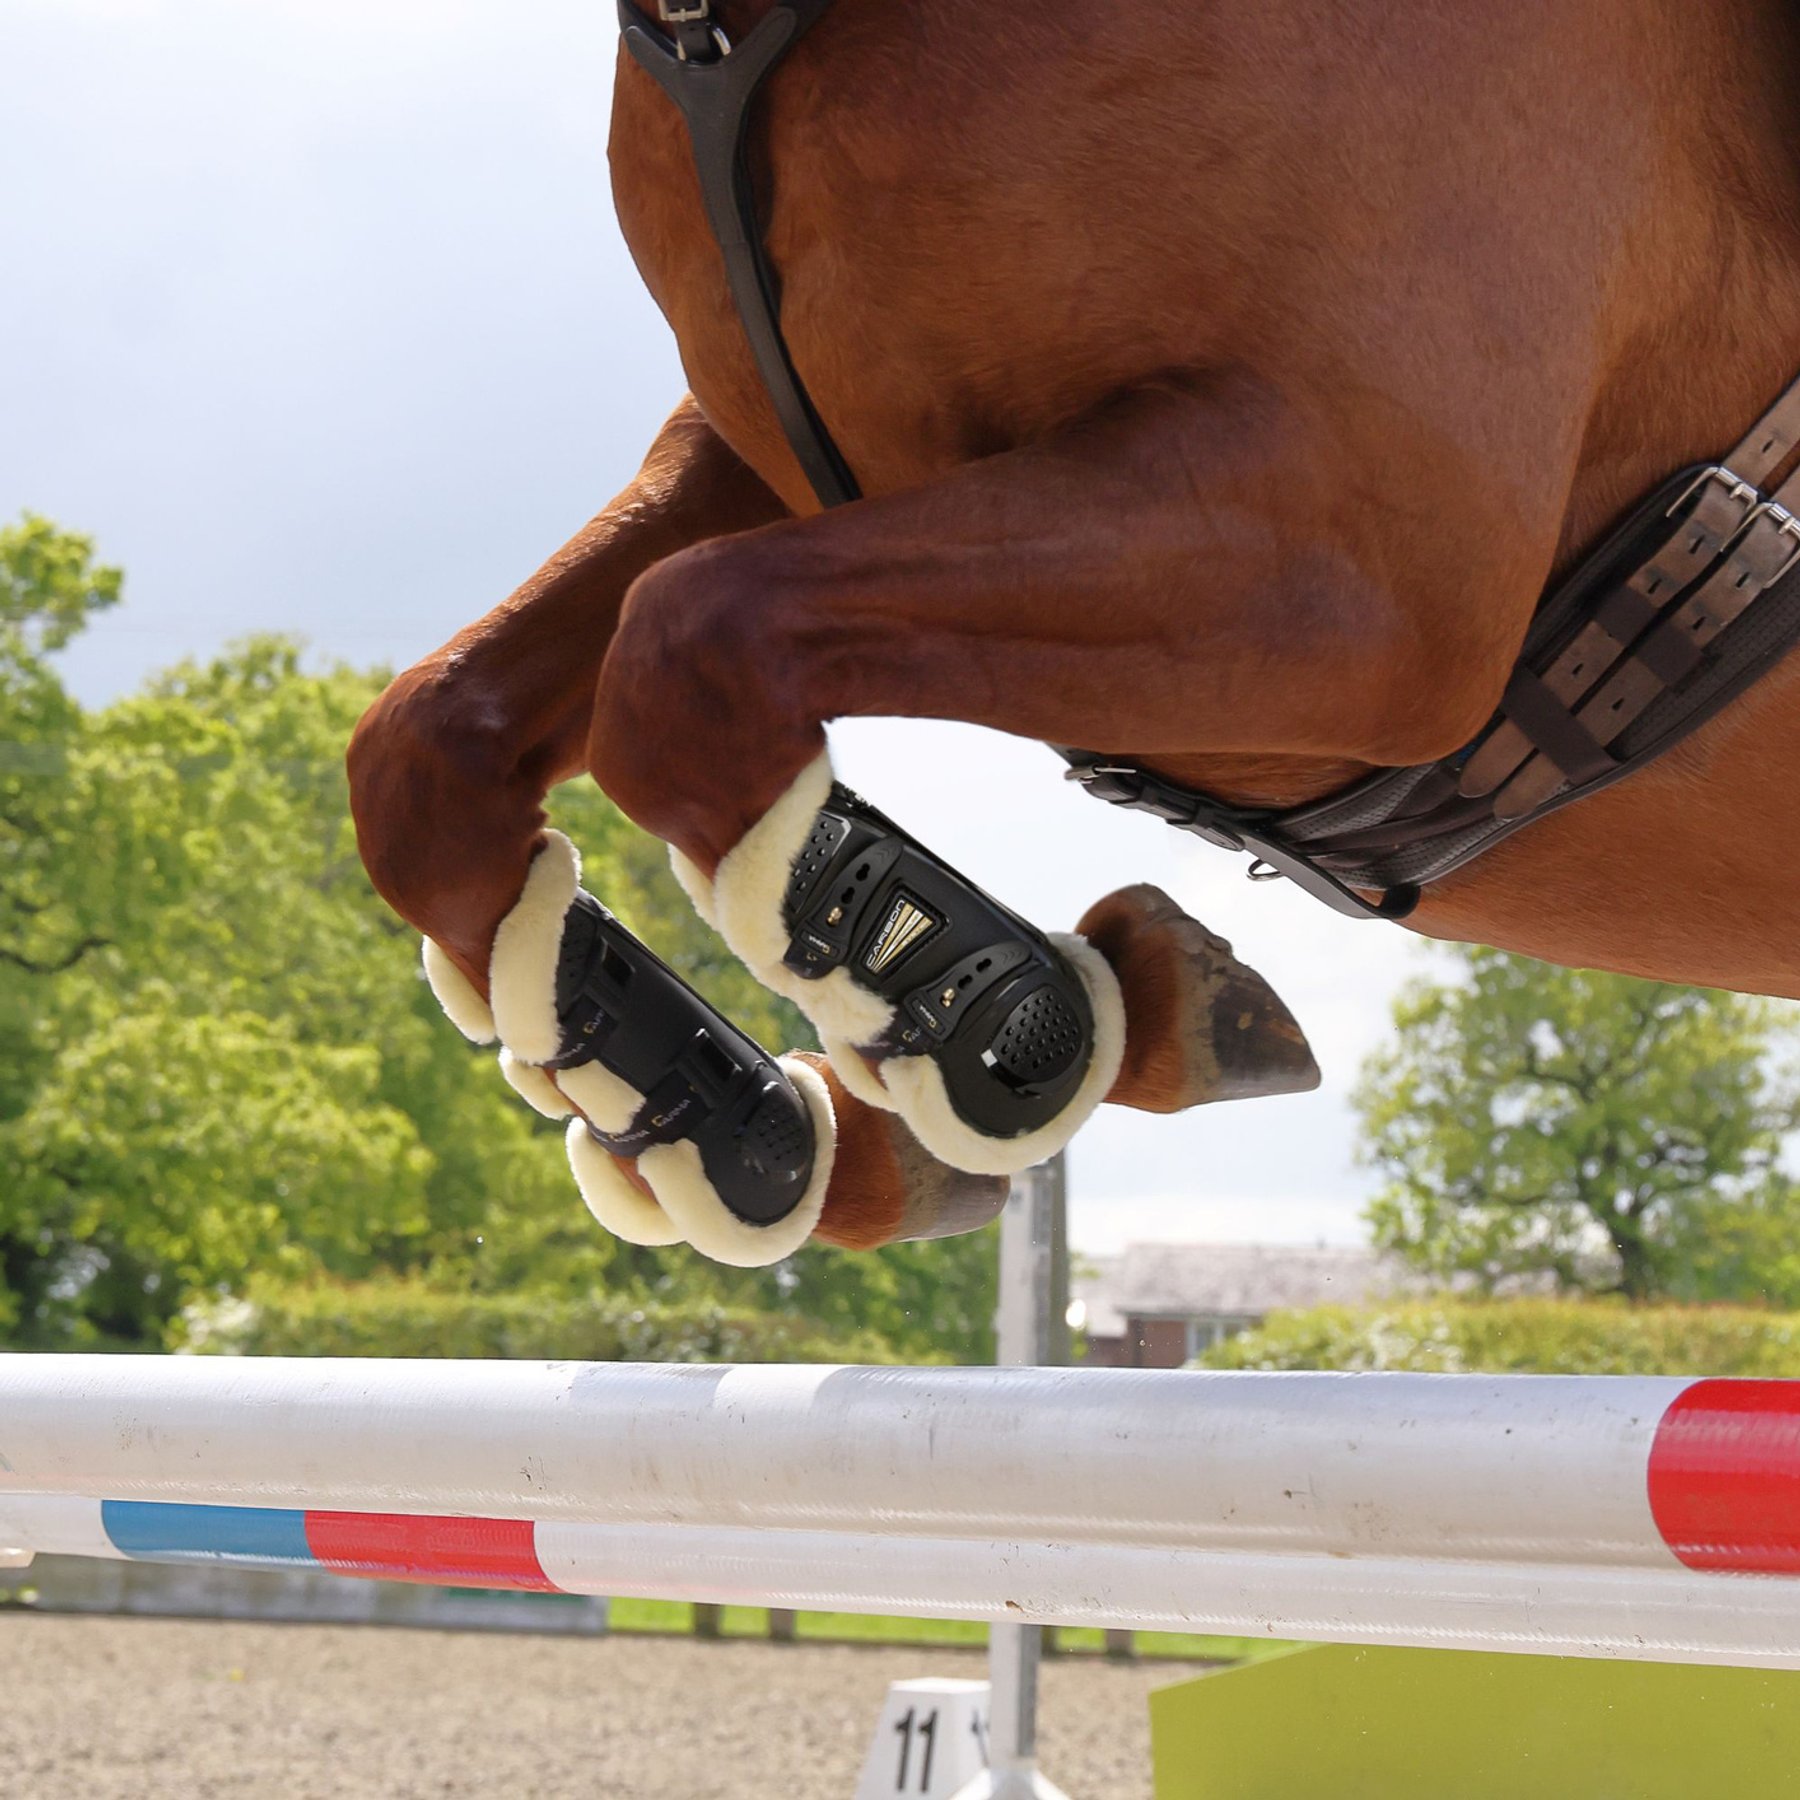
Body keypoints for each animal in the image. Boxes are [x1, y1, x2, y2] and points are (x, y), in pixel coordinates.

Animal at [346, 0, 1800, 1266]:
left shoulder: (1370, 571)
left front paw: (1022, 1019)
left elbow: (689, 651)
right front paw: (752, 1122)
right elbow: (428, 752)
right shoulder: (770, 459)